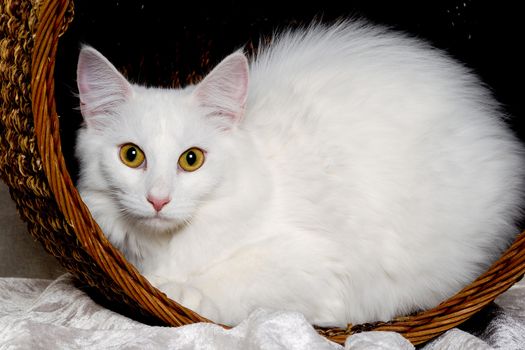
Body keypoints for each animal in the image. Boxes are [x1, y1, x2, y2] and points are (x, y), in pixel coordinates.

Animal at [75, 21, 520, 328]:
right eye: (131, 156)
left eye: (191, 160)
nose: (158, 199)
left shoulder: (317, 267)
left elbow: (236, 278)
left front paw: (174, 289)